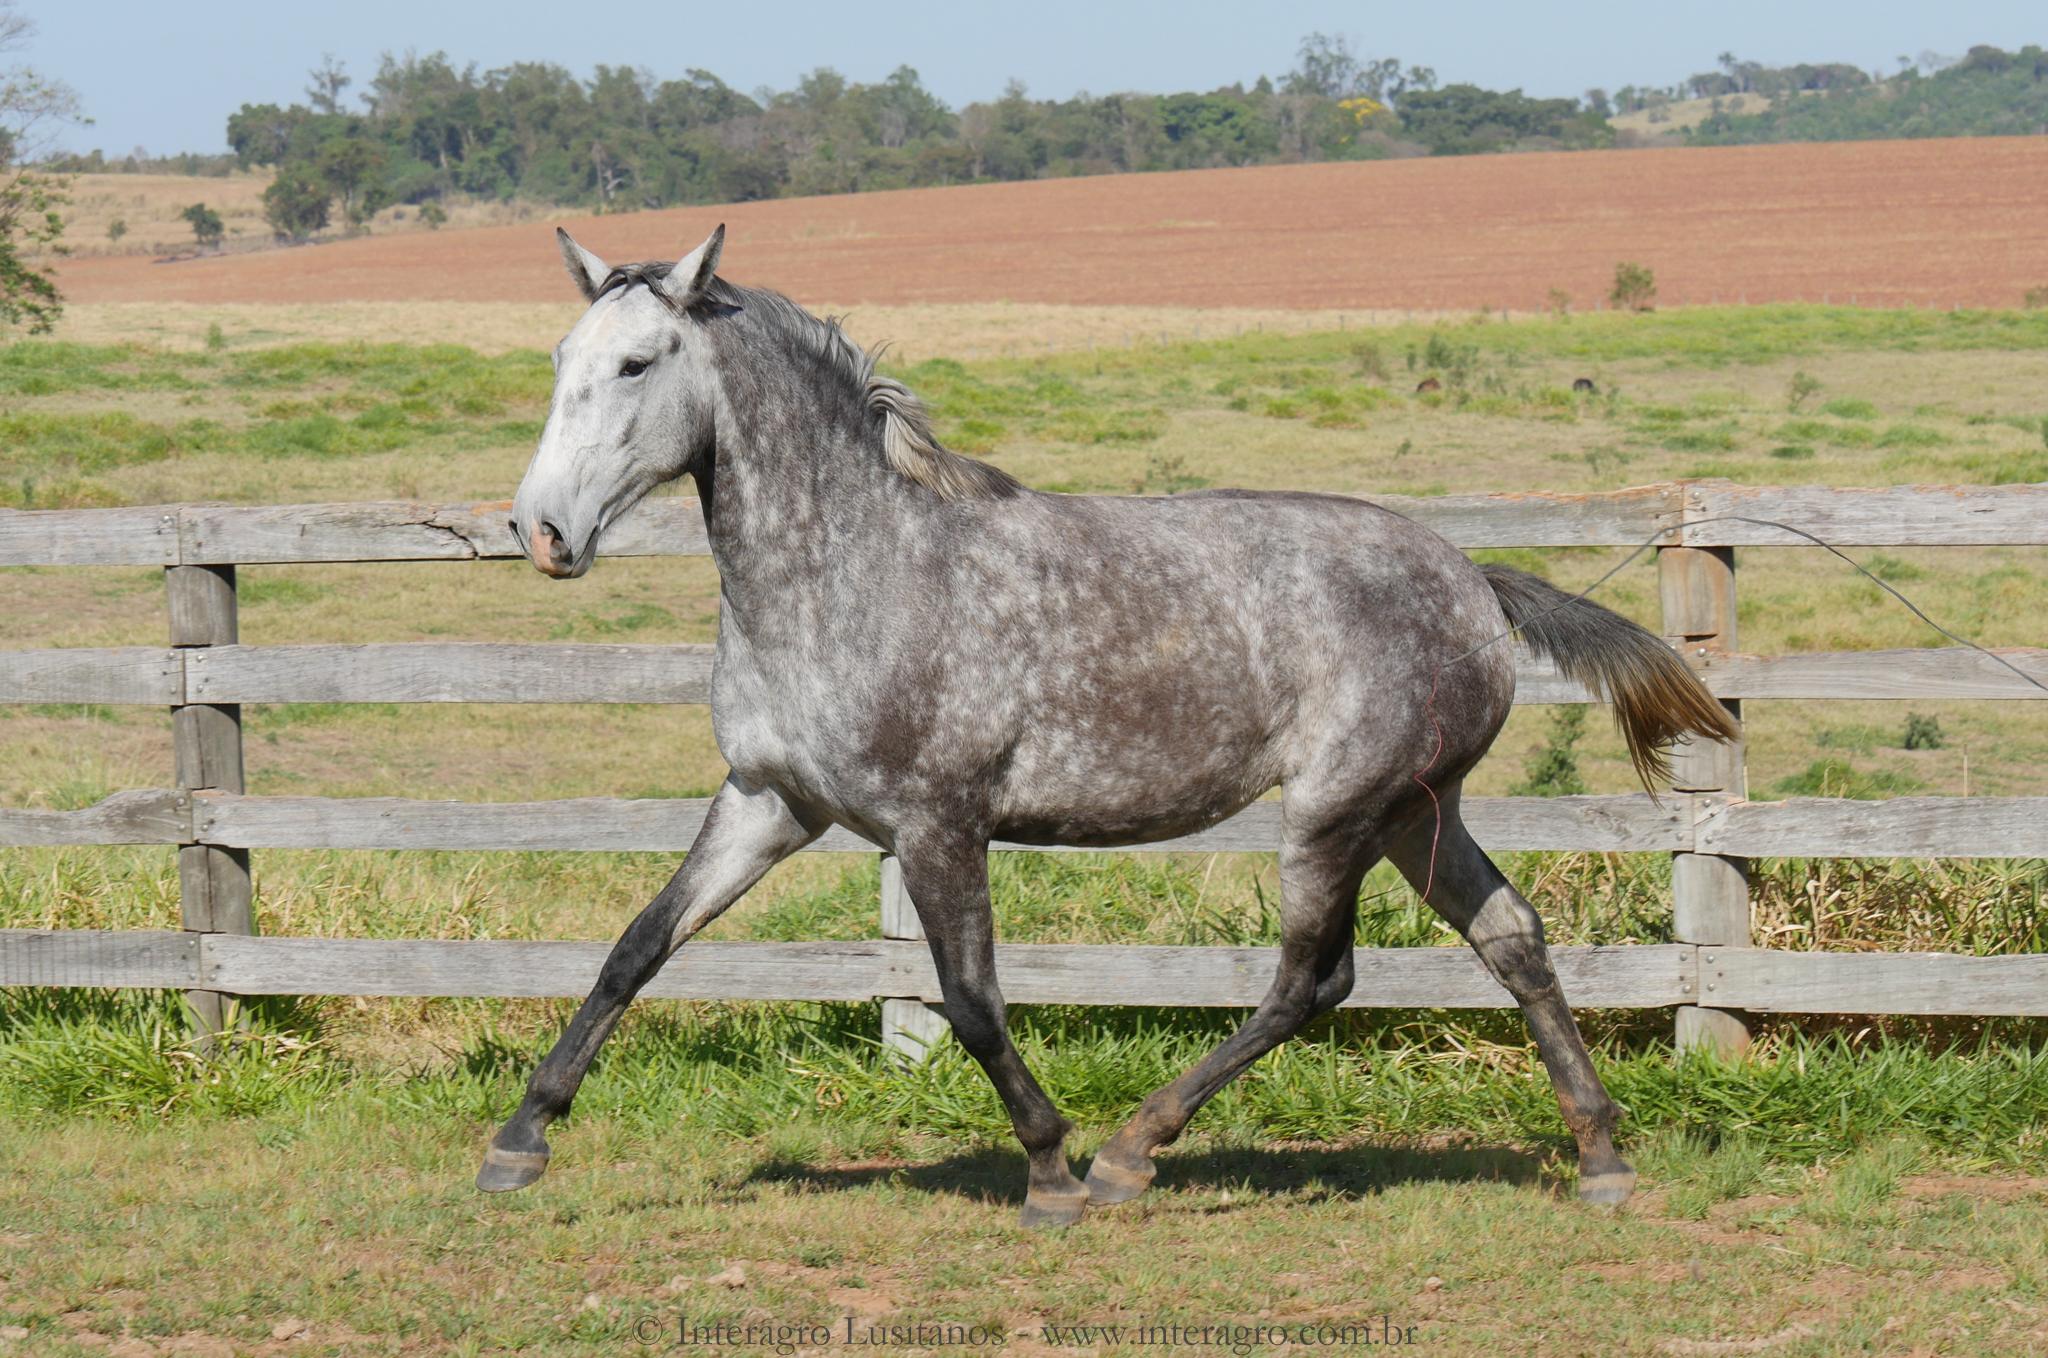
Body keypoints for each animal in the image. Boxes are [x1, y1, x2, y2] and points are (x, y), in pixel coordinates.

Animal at [478, 225, 1737, 1227]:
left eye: (636, 362)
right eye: (559, 360)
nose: (540, 531)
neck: (853, 571)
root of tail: (1471, 579)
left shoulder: (937, 822)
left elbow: (973, 1002)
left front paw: (1048, 1171)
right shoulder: (767, 802)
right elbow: (636, 947)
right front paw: (519, 1139)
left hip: (1335, 811)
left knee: (1311, 978)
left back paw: (1131, 1151)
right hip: (1414, 810)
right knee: (1511, 934)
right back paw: (1600, 1153)